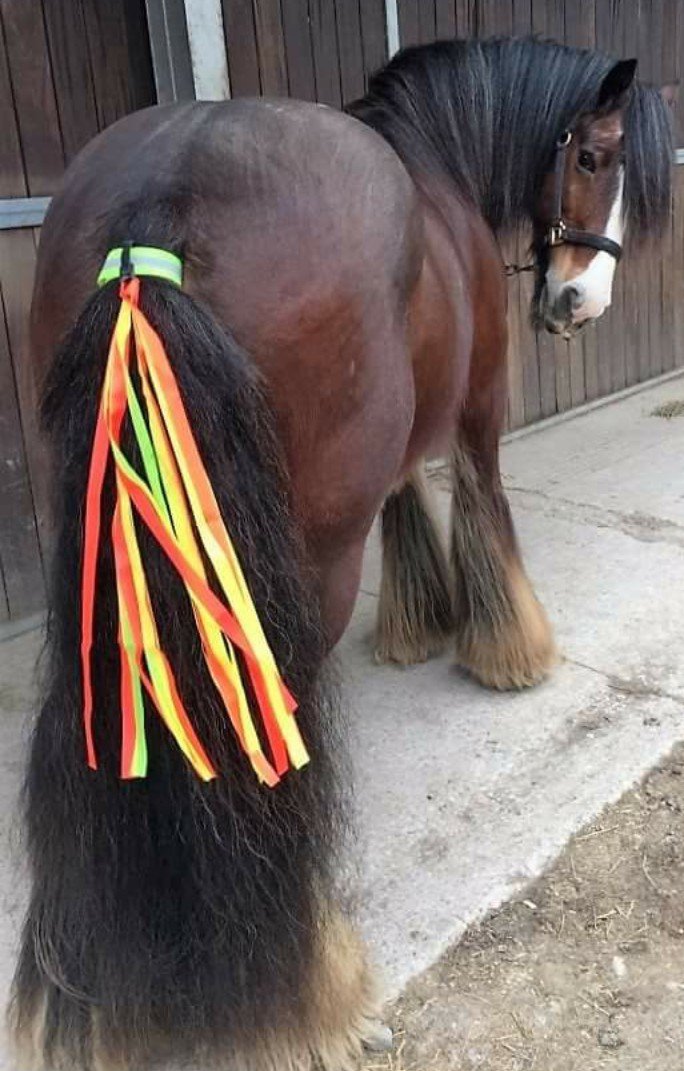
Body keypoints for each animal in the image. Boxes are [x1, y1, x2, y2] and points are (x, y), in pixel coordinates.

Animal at [9, 35, 672, 1071]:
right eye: (596, 157)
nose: (579, 300)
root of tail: (164, 199)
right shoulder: (479, 405)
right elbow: (481, 504)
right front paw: (507, 648)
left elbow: (408, 503)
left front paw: (414, 626)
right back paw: (310, 983)